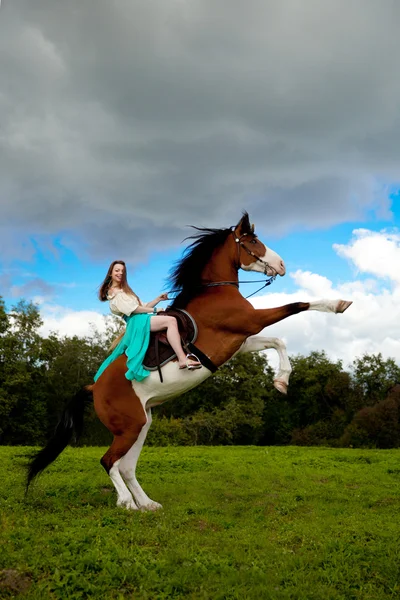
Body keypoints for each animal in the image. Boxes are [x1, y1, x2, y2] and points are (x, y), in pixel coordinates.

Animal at [27, 213, 350, 508]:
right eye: (253, 242)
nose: (282, 266)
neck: (215, 290)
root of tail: (94, 388)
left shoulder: (242, 340)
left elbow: (278, 341)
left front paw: (281, 381)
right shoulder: (251, 321)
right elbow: (298, 304)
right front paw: (338, 304)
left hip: (142, 424)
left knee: (126, 467)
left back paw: (148, 505)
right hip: (130, 427)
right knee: (109, 462)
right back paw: (127, 503)